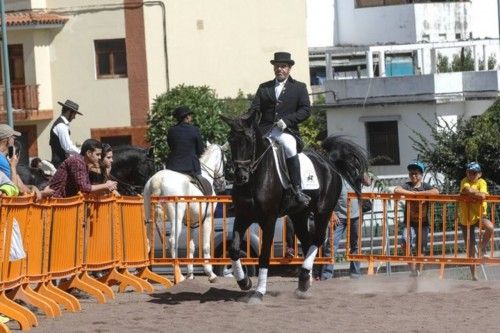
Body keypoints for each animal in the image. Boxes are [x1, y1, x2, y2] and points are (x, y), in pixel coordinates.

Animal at [142, 143, 226, 282]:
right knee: (172, 241)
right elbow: (206, 245)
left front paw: (190, 274)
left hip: (149, 216)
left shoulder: (191, 223)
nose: (223, 183)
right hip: (176, 218)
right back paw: (178, 275)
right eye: (225, 160)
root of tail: (157, 180)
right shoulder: (208, 218)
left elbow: (191, 246)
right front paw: (210, 273)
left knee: (148, 241)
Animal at [222, 113, 368, 300]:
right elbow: (233, 249)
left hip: (323, 211)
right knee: (307, 241)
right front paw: (244, 282)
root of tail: (328, 161)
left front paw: (259, 292)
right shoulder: (243, 216)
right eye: (230, 140)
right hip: (299, 215)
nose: (241, 176)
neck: (255, 179)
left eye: (249, 140)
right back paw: (305, 282)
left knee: (318, 239)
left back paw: (305, 277)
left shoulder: (268, 220)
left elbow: (264, 255)